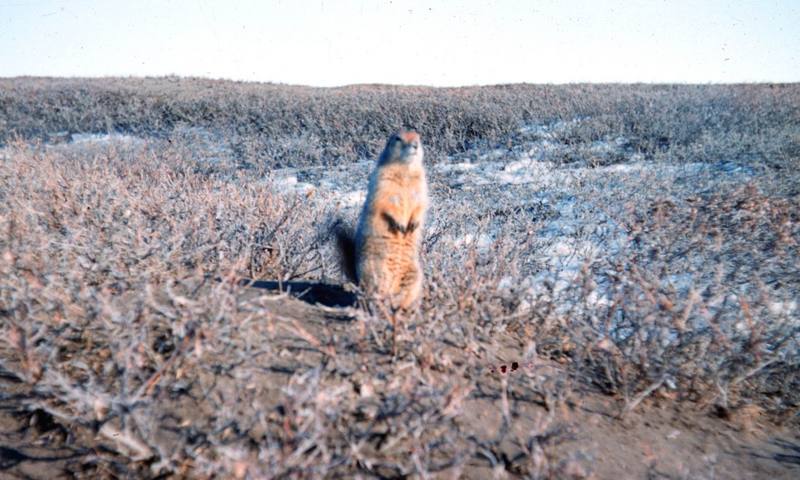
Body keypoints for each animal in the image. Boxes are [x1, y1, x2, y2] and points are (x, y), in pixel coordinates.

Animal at [336, 129, 428, 310]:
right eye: (398, 138)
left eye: (419, 138)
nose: (415, 145)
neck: (405, 170)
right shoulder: (382, 181)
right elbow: (384, 202)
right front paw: (400, 225)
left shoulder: (421, 184)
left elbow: (421, 203)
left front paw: (413, 224)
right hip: (375, 271)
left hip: (415, 273)